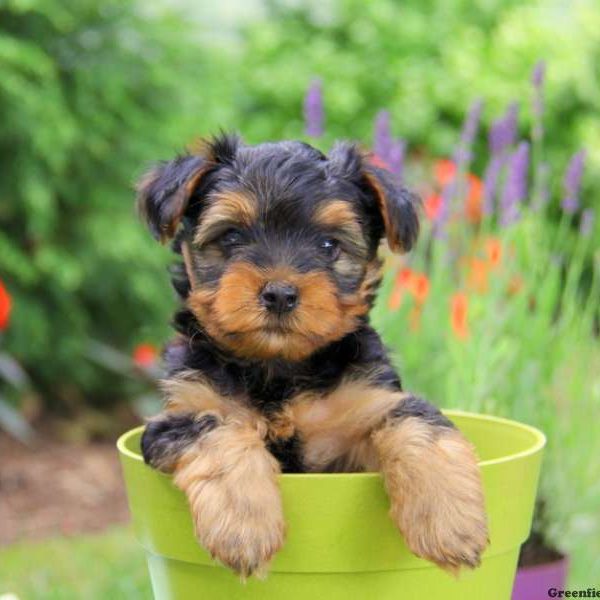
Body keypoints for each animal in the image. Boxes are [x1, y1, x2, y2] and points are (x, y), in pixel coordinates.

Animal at [136, 135, 488, 576]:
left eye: (328, 245)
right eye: (232, 237)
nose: (280, 293)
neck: (278, 367)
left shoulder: (365, 407)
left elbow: (415, 421)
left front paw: (451, 524)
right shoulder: (179, 413)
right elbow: (216, 427)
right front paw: (245, 526)